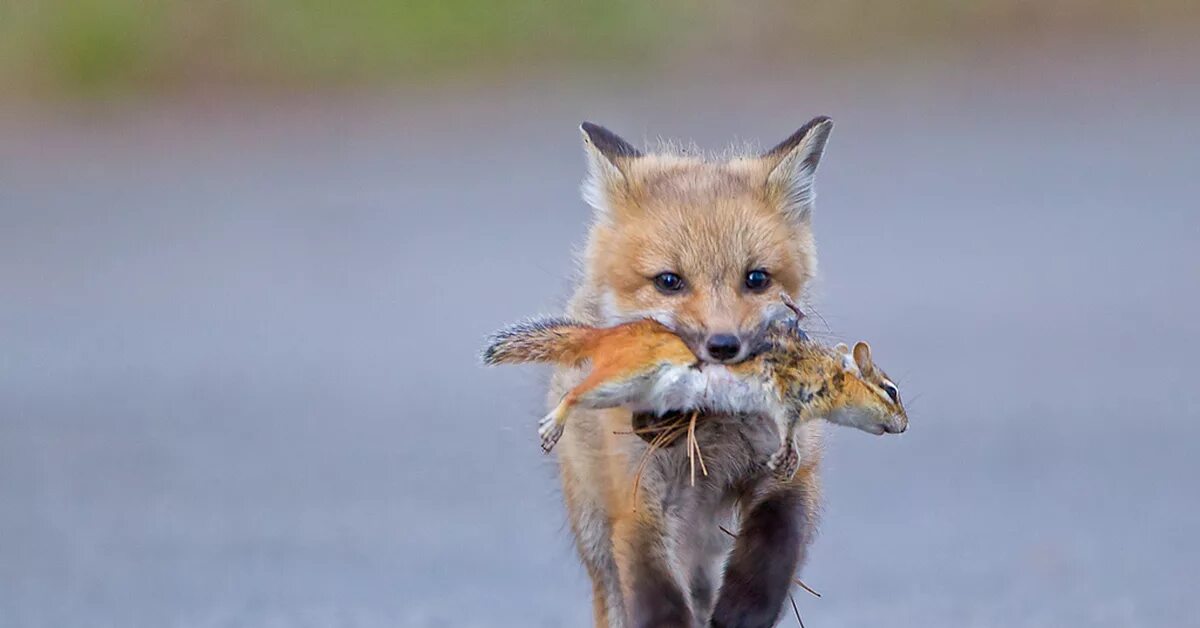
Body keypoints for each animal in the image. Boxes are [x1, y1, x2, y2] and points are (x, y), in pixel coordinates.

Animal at [482, 292, 902, 480]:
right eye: (891, 390)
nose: (905, 425)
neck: (827, 371)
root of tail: (606, 335)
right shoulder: (788, 395)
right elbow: (787, 428)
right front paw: (787, 458)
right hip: (621, 377)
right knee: (574, 393)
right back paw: (552, 426)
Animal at [530, 119, 840, 628]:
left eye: (756, 278)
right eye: (669, 282)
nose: (723, 345)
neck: (712, 431)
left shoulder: (795, 471)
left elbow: (772, 545)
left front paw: (742, 611)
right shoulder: (636, 503)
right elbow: (658, 601)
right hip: (599, 535)